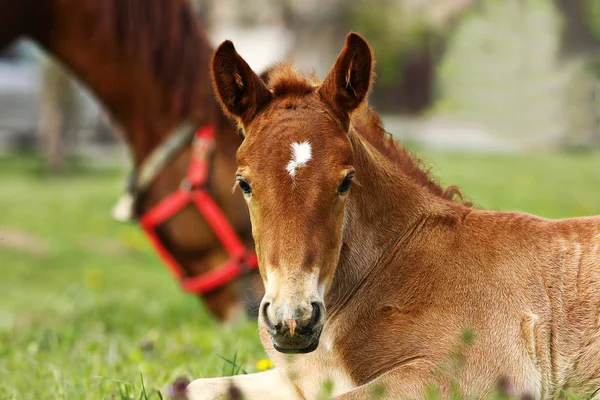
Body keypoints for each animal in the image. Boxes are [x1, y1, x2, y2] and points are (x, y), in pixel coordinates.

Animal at [186, 32, 600, 398]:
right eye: (244, 183)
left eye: (346, 181)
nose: (293, 321)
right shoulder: (303, 380)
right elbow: (194, 386)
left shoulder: (479, 373)